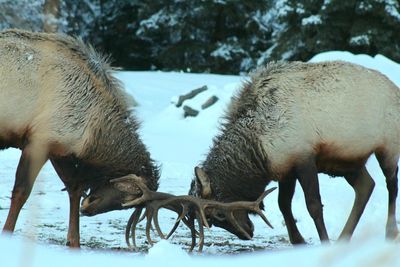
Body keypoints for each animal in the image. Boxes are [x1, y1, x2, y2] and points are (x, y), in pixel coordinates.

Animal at [0, 28, 159, 248]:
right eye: (126, 196)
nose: (89, 208)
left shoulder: (60, 150)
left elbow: (74, 189)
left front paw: (74, 242)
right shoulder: (39, 141)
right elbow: (21, 191)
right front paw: (7, 233)